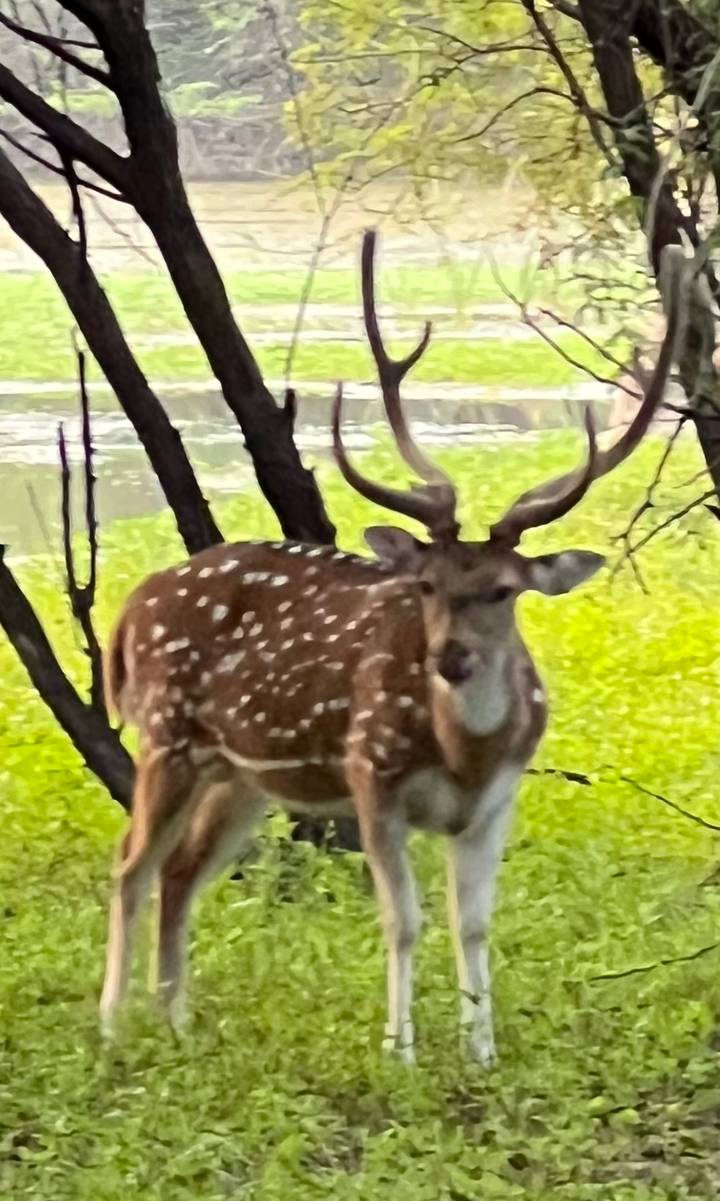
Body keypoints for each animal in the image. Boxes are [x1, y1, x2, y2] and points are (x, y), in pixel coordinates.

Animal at [100, 231, 684, 1064]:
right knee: (131, 864)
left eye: (504, 589)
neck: (465, 753)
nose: (450, 657)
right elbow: (403, 920)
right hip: (166, 734)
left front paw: (481, 1052)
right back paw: (113, 1024)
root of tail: (129, 610)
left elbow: (474, 924)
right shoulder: (370, 775)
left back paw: (176, 1020)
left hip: (241, 772)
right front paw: (399, 1051)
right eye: (428, 584)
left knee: (181, 870)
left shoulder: (498, 798)